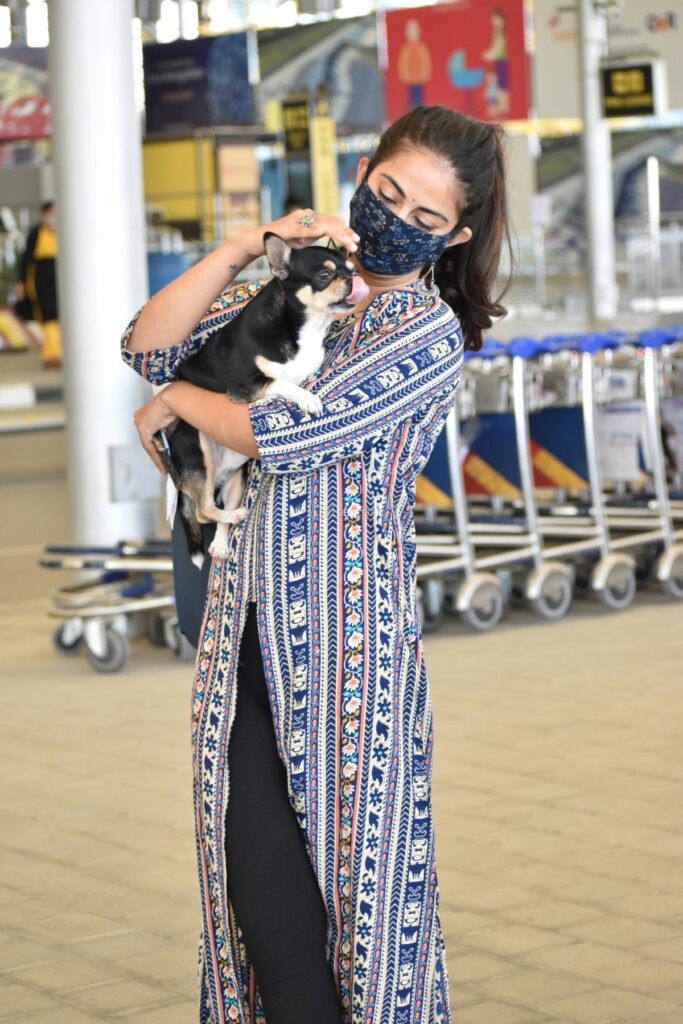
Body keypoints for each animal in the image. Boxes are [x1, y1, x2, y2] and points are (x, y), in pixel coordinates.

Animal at [162, 233, 368, 569]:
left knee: (218, 511)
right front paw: (308, 398)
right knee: (204, 510)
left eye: (353, 269)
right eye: (324, 276)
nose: (354, 280)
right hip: (198, 452)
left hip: (236, 479)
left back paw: (221, 541)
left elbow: (296, 376)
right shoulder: (246, 385)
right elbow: (280, 381)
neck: (305, 329)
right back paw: (235, 516)